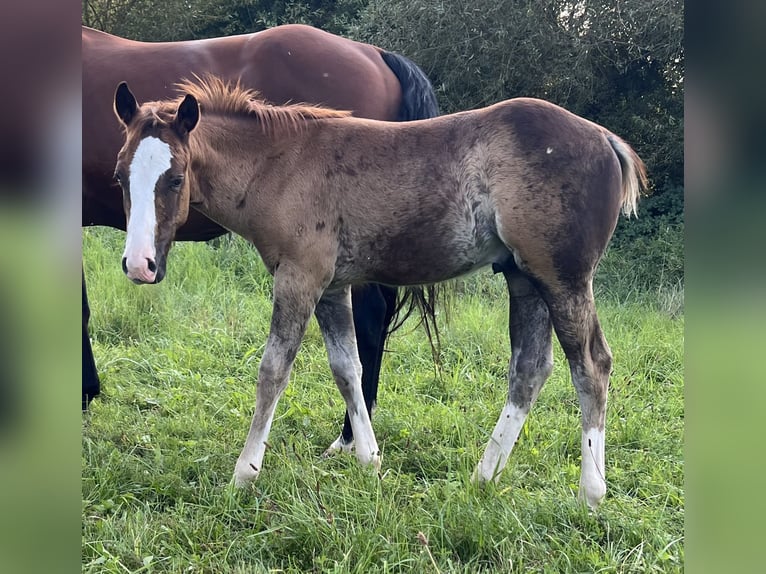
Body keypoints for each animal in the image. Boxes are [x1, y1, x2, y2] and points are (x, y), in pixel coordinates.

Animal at [82, 25, 440, 453]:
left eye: (178, 179)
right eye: (118, 176)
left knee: (369, 324)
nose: (139, 264)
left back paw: (350, 437)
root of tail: (375, 54)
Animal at [111, 76, 646, 508]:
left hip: (562, 278)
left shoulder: (299, 278)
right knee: (530, 368)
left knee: (592, 364)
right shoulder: (331, 288)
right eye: (120, 175)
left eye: (175, 177)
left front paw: (244, 474)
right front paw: (369, 460)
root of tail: (605, 139)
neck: (279, 165)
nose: (139, 265)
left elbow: (273, 371)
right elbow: (348, 367)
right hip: (524, 277)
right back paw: (483, 477)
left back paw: (590, 493)